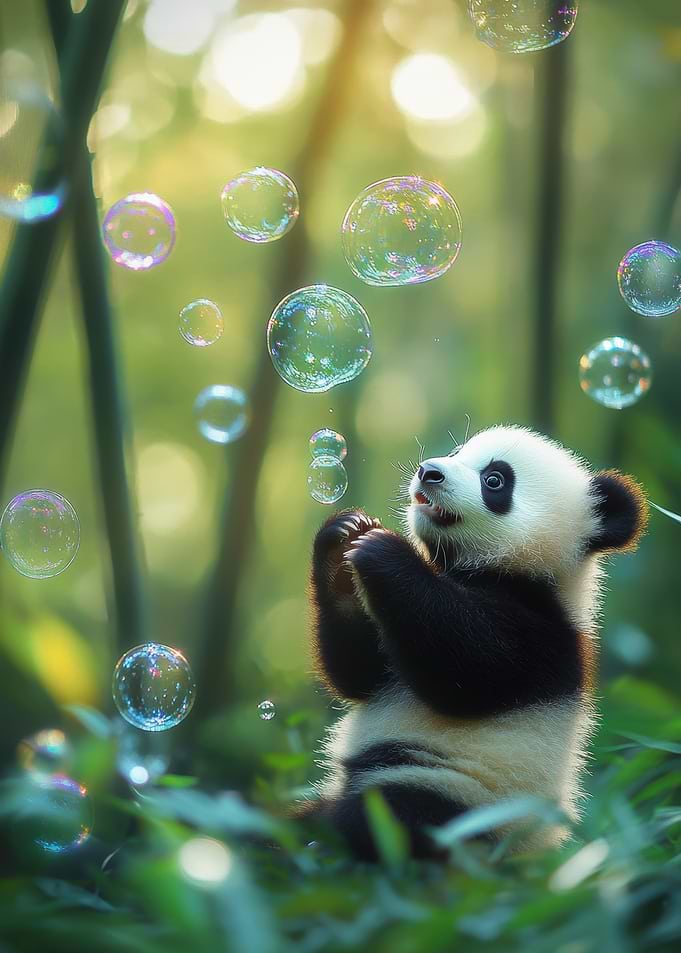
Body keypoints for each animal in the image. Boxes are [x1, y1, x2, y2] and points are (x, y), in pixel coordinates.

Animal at [303, 425, 647, 860]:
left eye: (495, 481)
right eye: (457, 452)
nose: (429, 472)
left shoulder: (541, 635)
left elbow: (469, 673)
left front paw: (383, 552)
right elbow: (359, 672)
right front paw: (344, 536)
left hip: (464, 800)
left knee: (390, 820)